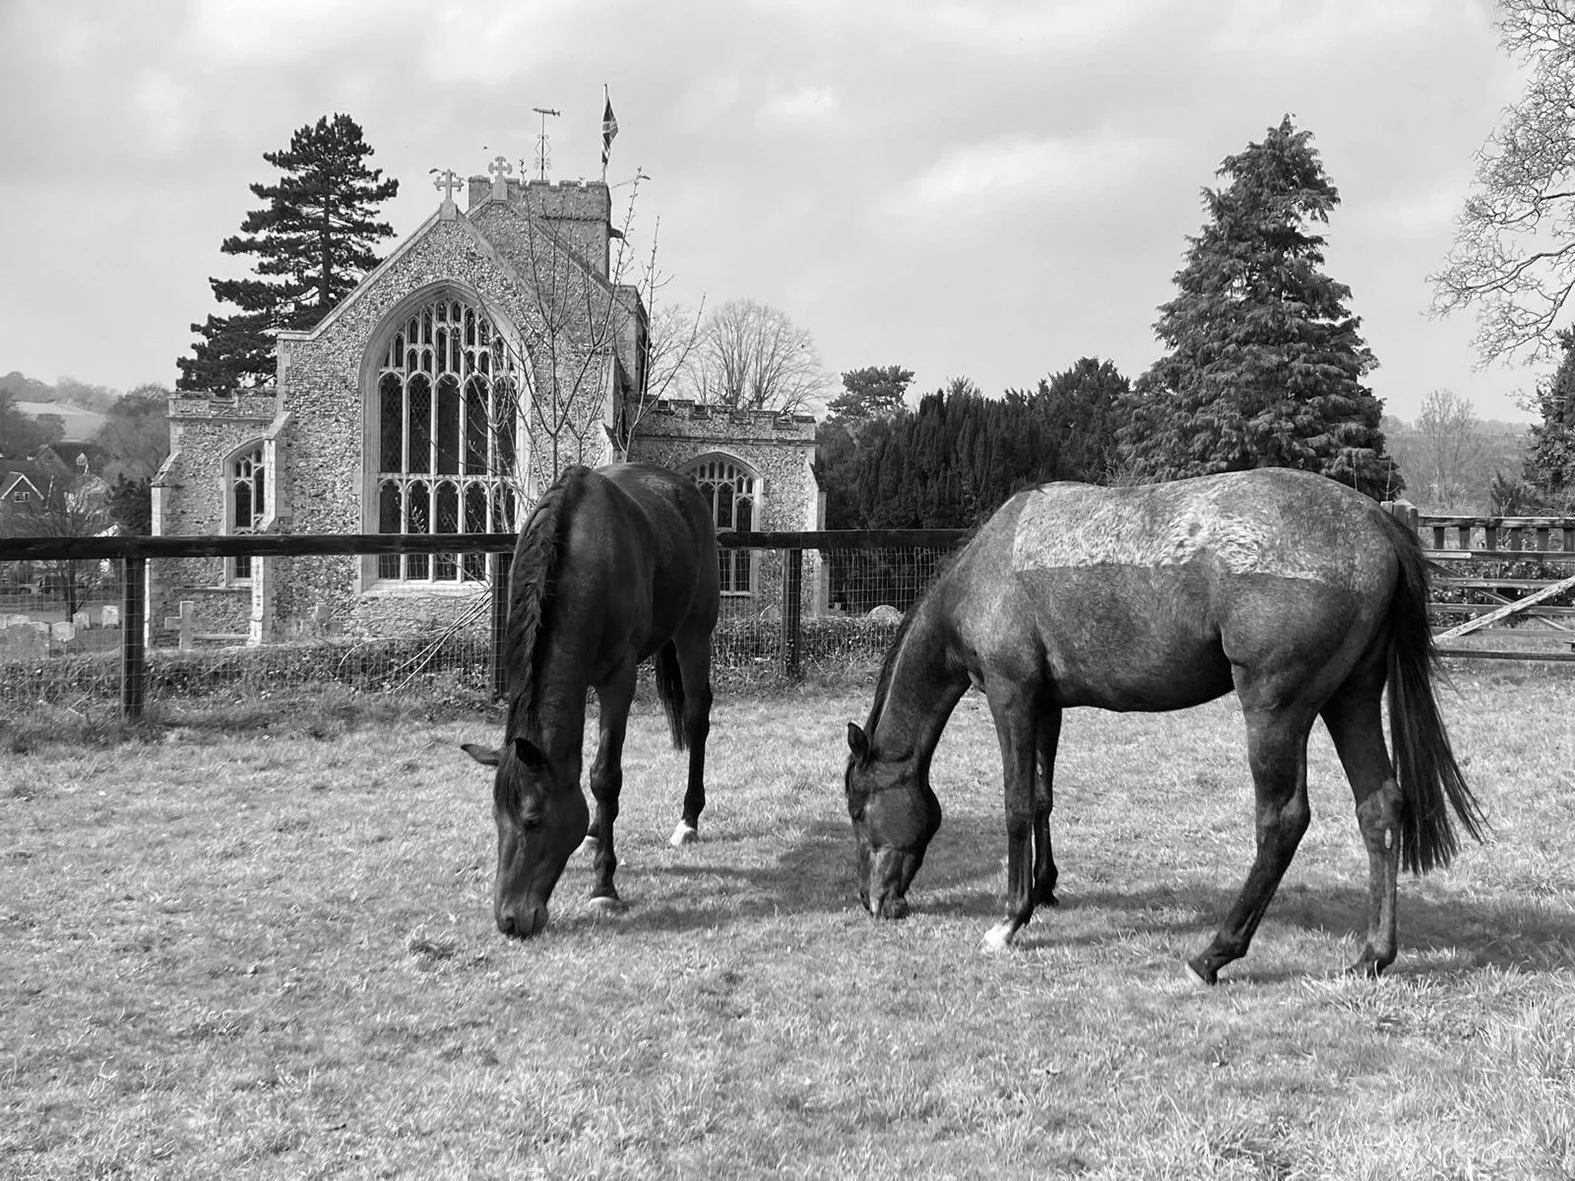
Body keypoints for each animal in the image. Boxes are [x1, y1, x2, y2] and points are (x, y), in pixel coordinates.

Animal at [462, 462, 719, 938]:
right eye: (495, 819)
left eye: (532, 819)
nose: (510, 919)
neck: (583, 559)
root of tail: (684, 486)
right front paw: (594, 836)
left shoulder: (618, 680)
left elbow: (605, 777)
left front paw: (604, 886)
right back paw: (597, 829)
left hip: (694, 634)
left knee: (697, 720)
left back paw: (688, 821)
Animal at [844, 468, 1485, 984]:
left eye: (856, 810)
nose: (874, 902)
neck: (991, 568)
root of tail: (1378, 523)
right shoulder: (1047, 705)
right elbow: (1045, 797)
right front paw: (1045, 888)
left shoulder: (1012, 697)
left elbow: (1018, 805)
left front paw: (1011, 919)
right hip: (1351, 698)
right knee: (1379, 808)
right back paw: (1372, 956)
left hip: (1277, 709)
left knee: (1282, 821)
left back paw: (1215, 954)